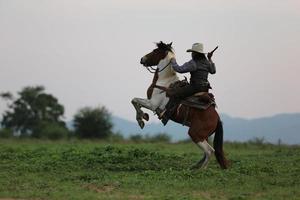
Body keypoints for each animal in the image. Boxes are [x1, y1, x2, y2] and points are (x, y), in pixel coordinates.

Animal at [131, 41, 227, 169]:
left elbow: (134, 100)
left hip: (195, 134)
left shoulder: (152, 104)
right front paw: (143, 117)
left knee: (209, 151)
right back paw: (195, 167)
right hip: (204, 136)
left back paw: (200, 170)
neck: (164, 82)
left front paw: (141, 119)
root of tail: (217, 118)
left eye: (155, 51)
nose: (142, 59)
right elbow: (135, 101)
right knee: (207, 152)